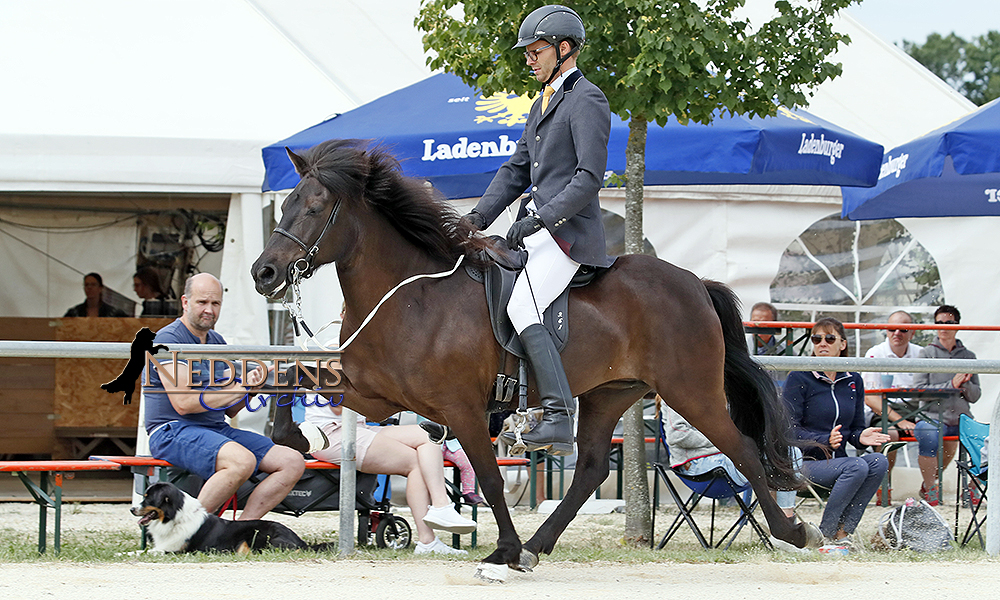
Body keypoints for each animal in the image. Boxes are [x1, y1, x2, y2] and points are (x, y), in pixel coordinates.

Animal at [128, 482, 332, 552]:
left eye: (148, 498)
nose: (131, 509)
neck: (174, 517)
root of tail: (299, 541)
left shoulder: (178, 550)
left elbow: (150, 552)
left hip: (256, 536)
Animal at [252, 138, 820, 580]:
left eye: (315, 207)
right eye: (284, 206)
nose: (264, 273)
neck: (408, 295)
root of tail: (694, 282)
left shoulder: (459, 407)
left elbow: (489, 475)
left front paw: (501, 550)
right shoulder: (376, 395)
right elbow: (290, 378)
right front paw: (300, 437)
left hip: (691, 390)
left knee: (742, 449)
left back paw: (795, 530)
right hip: (609, 394)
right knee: (590, 470)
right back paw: (536, 546)